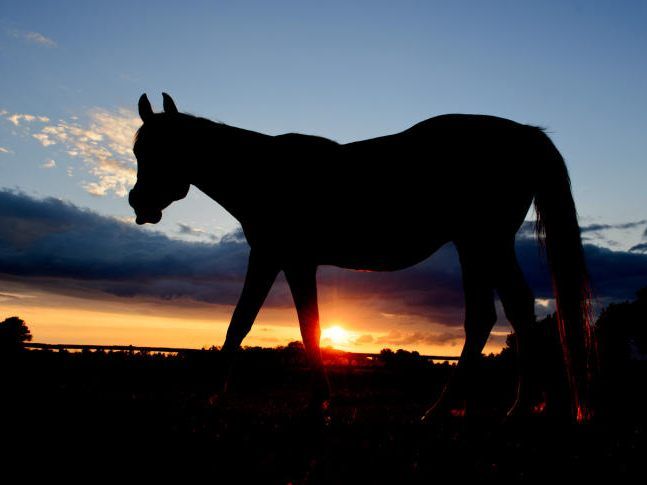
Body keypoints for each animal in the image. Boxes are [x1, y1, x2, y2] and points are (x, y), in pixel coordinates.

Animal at [129, 93, 596, 420]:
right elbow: (291, 325)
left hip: (484, 242)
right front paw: (317, 398)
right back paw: (490, 406)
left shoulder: (274, 256)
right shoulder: (290, 260)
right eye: (137, 152)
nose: (139, 204)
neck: (264, 173)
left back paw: (475, 407)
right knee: (499, 313)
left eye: (160, 151)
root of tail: (525, 134)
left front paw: (212, 394)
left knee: (501, 312)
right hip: (476, 246)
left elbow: (254, 322)